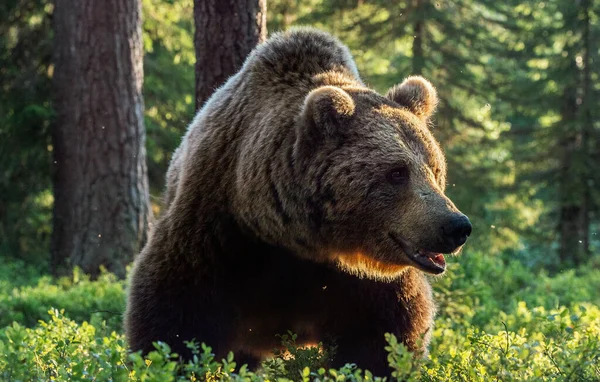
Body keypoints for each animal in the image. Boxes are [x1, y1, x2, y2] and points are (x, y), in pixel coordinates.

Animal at [125, 28, 474, 374]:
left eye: (434, 169)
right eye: (397, 172)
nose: (456, 226)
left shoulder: (364, 284)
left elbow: (385, 337)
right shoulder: (217, 231)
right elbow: (175, 317)